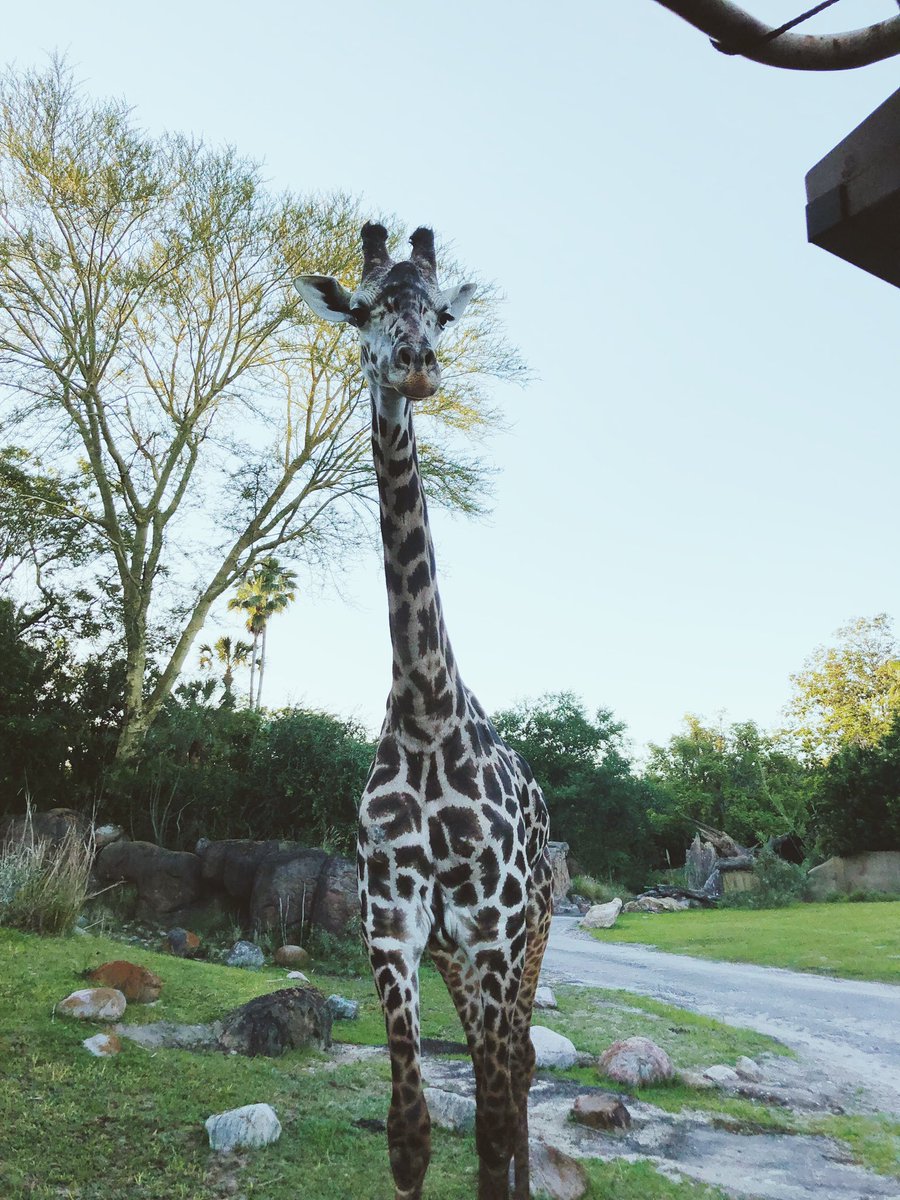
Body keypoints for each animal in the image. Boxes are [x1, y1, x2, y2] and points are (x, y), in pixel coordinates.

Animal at [294, 223, 552, 1200]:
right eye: (364, 309)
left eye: (441, 312)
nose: (416, 365)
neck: (426, 707)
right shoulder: (395, 925)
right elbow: (410, 1132)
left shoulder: (492, 929)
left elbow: (489, 1117)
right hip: (458, 956)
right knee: (497, 1071)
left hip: (528, 937)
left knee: (517, 1071)